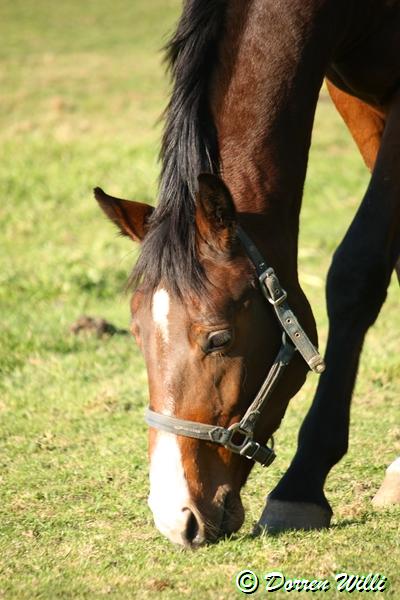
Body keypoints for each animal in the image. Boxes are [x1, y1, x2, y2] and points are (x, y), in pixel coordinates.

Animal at [94, 0, 400, 548]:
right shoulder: (359, 96)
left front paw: (301, 486)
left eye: (219, 339)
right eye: (136, 336)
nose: (175, 517)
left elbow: (357, 269)